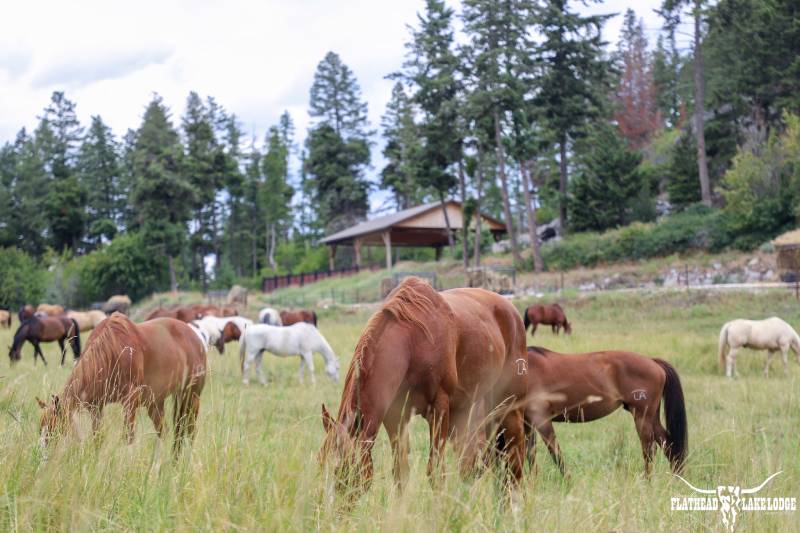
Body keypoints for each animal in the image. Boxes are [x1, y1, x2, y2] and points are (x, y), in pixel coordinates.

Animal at [38, 314, 208, 450]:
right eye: (41, 428)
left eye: (53, 427)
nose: (41, 454)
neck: (112, 349)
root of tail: (195, 337)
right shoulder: (96, 408)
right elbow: (98, 437)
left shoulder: (130, 402)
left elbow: (128, 438)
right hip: (156, 403)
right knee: (168, 432)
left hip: (191, 396)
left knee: (189, 431)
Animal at [318, 276, 532, 492]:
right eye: (320, 463)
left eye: (342, 468)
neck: (412, 344)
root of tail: (511, 310)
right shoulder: (396, 417)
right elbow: (400, 473)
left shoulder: (439, 409)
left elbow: (436, 472)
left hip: (509, 407)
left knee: (514, 456)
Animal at [520, 344, 684, 474]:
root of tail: (653, 361)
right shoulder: (528, 423)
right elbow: (530, 455)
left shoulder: (541, 419)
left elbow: (555, 454)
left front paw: (568, 482)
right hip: (651, 418)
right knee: (668, 445)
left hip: (642, 417)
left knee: (649, 451)